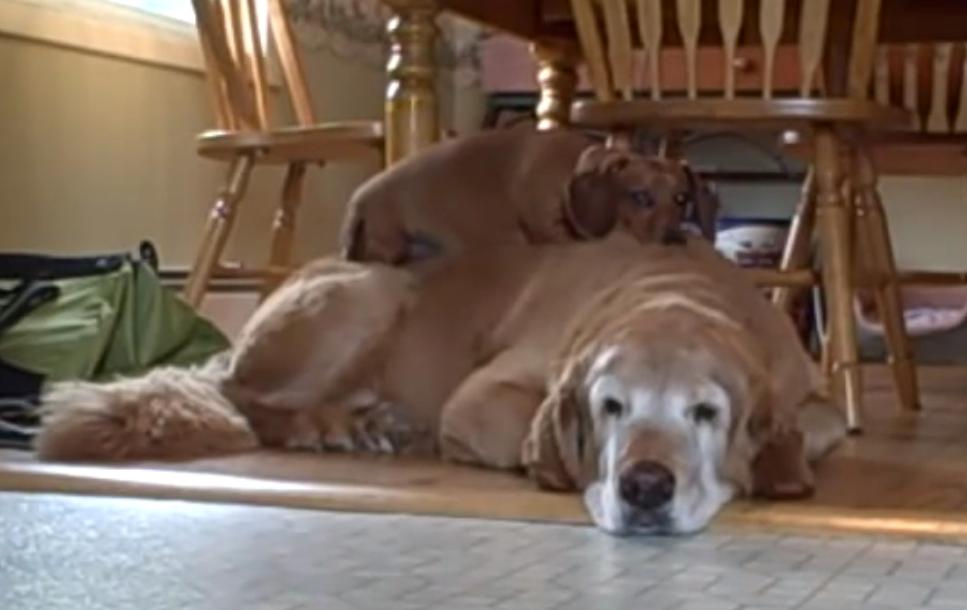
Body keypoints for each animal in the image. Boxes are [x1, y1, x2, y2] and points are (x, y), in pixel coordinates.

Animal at [36, 235, 840, 536]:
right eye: (609, 407)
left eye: (706, 412)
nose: (645, 486)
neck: (675, 290)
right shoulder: (483, 396)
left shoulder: (810, 394)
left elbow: (822, 427)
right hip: (368, 295)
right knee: (252, 405)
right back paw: (345, 428)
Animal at [342, 125, 720, 264]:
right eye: (640, 197)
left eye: (682, 199)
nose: (675, 240)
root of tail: (359, 201)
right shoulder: (548, 230)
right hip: (393, 242)